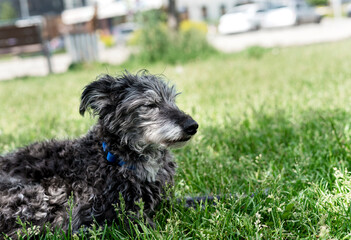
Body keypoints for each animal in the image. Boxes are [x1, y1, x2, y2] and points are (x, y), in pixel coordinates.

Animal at [0, 70, 198, 237]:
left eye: (173, 100)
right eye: (149, 104)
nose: (193, 126)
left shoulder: (165, 201)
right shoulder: (124, 213)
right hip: (45, 194)